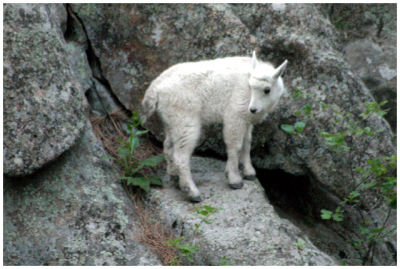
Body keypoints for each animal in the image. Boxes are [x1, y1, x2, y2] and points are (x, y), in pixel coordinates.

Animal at [142, 51, 286, 201]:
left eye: (267, 90)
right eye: (251, 87)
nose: (253, 109)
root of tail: (155, 89)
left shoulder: (246, 119)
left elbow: (247, 143)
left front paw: (249, 171)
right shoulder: (235, 114)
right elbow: (235, 146)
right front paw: (234, 178)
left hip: (171, 120)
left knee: (168, 146)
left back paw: (174, 176)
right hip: (185, 120)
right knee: (181, 156)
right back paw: (192, 191)